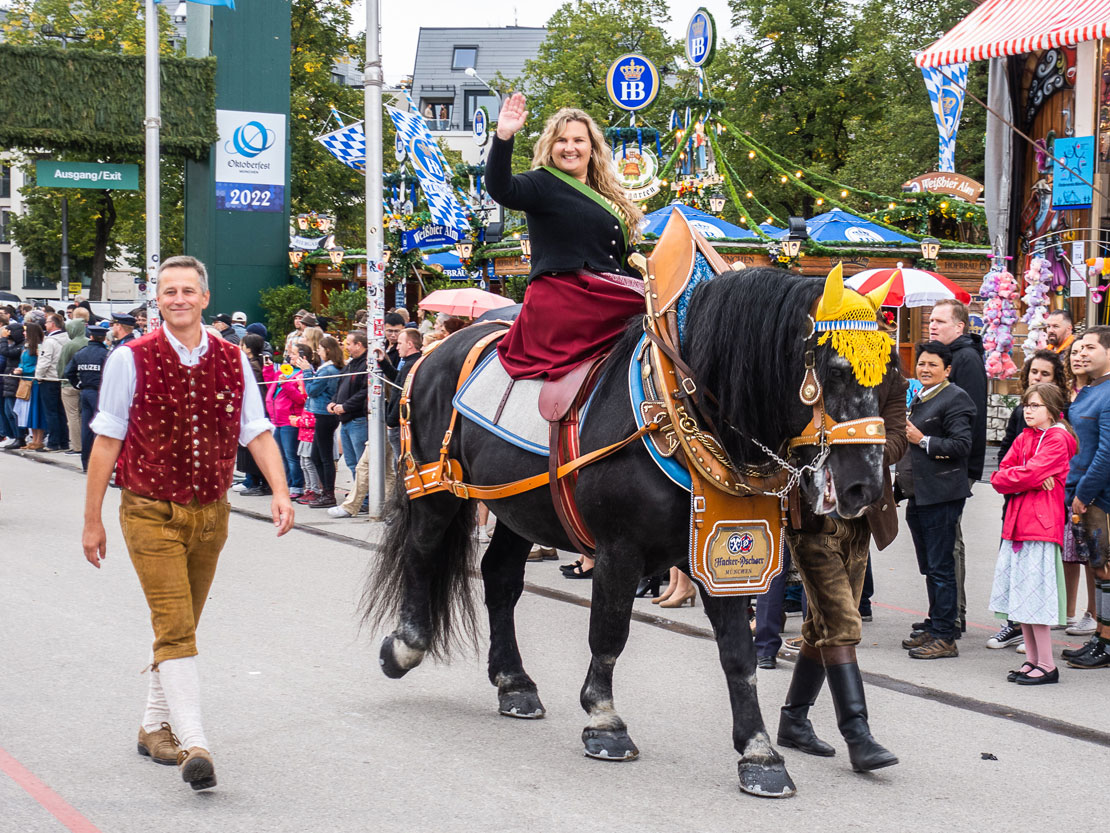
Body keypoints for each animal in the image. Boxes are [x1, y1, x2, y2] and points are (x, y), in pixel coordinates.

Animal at [361, 265, 883, 795]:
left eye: (889, 373)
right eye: (837, 370)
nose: (865, 486)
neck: (685, 409)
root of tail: (435, 351)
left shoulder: (719, 552)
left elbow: (738, 654)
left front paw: (759, 753)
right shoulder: (620, 549)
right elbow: (609, 632)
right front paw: (604, 722)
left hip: (519, 508)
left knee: (500, 578)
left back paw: (514, 682)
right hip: (436, 490)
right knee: (422, 553)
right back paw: (404, 647)